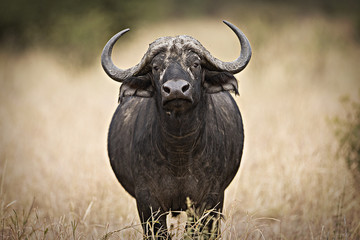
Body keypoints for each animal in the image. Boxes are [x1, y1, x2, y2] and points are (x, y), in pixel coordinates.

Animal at [100, 20, 252, 238]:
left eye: (195, 64)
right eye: (156, 67)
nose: (176, 90)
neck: (179, 151)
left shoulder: (210, 199)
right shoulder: (147, 202)